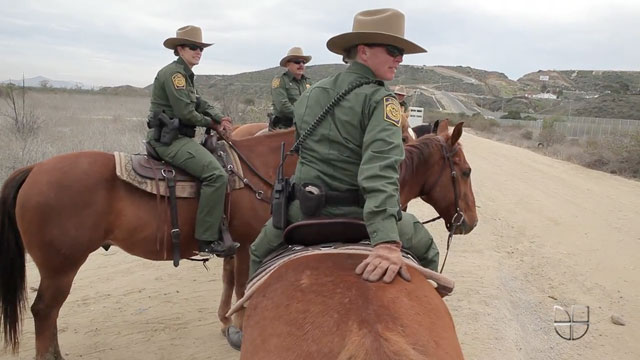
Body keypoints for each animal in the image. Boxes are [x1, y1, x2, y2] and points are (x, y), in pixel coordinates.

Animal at [0, 128, 298, 358]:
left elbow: (230, 280)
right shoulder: (248, 244)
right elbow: (244, 287)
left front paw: (226, 324)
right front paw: (240, 332)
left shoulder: (233, 247)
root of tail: (34, 169)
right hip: (60, 270)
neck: (254, 168)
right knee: (44, 312)